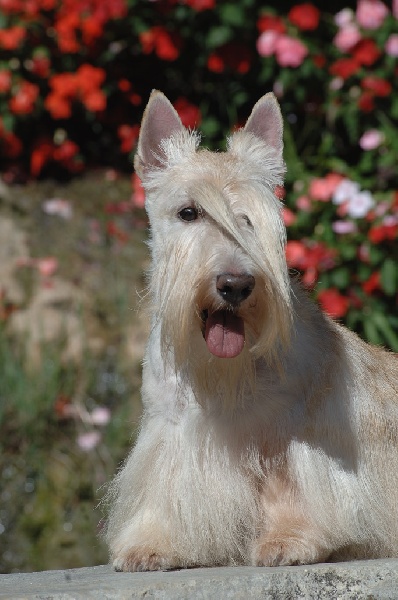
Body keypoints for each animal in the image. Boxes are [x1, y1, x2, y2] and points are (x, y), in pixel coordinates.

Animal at [105, 89, 398, 572]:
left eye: (250, 218)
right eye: (189, 212)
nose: (236, 285)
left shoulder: (289, 436)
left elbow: (288, 490)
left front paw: (288, 540)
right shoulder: (169, 430)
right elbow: (162, 491)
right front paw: (153, 542)